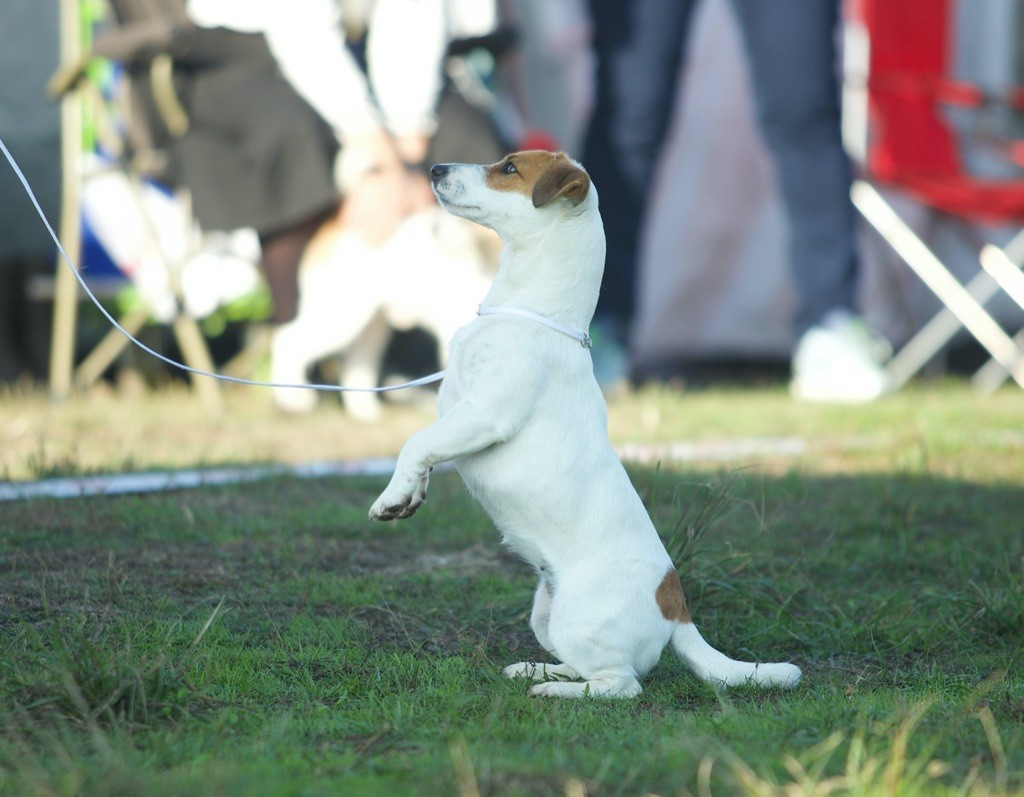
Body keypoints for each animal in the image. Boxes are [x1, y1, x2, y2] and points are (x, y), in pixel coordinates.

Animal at [368, 149, 798, 696]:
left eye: (509, 168)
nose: (435, 169)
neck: (530, 311)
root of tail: (675, 609)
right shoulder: (458, 411)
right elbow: (426, 448)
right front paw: (412, 493)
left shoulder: (485, 412)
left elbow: (417, 443)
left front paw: (392, 497)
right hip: (545, 614)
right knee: (580, 664)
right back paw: (536, 669)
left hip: (578, 619)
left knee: (619, 683)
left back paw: (555, 691)